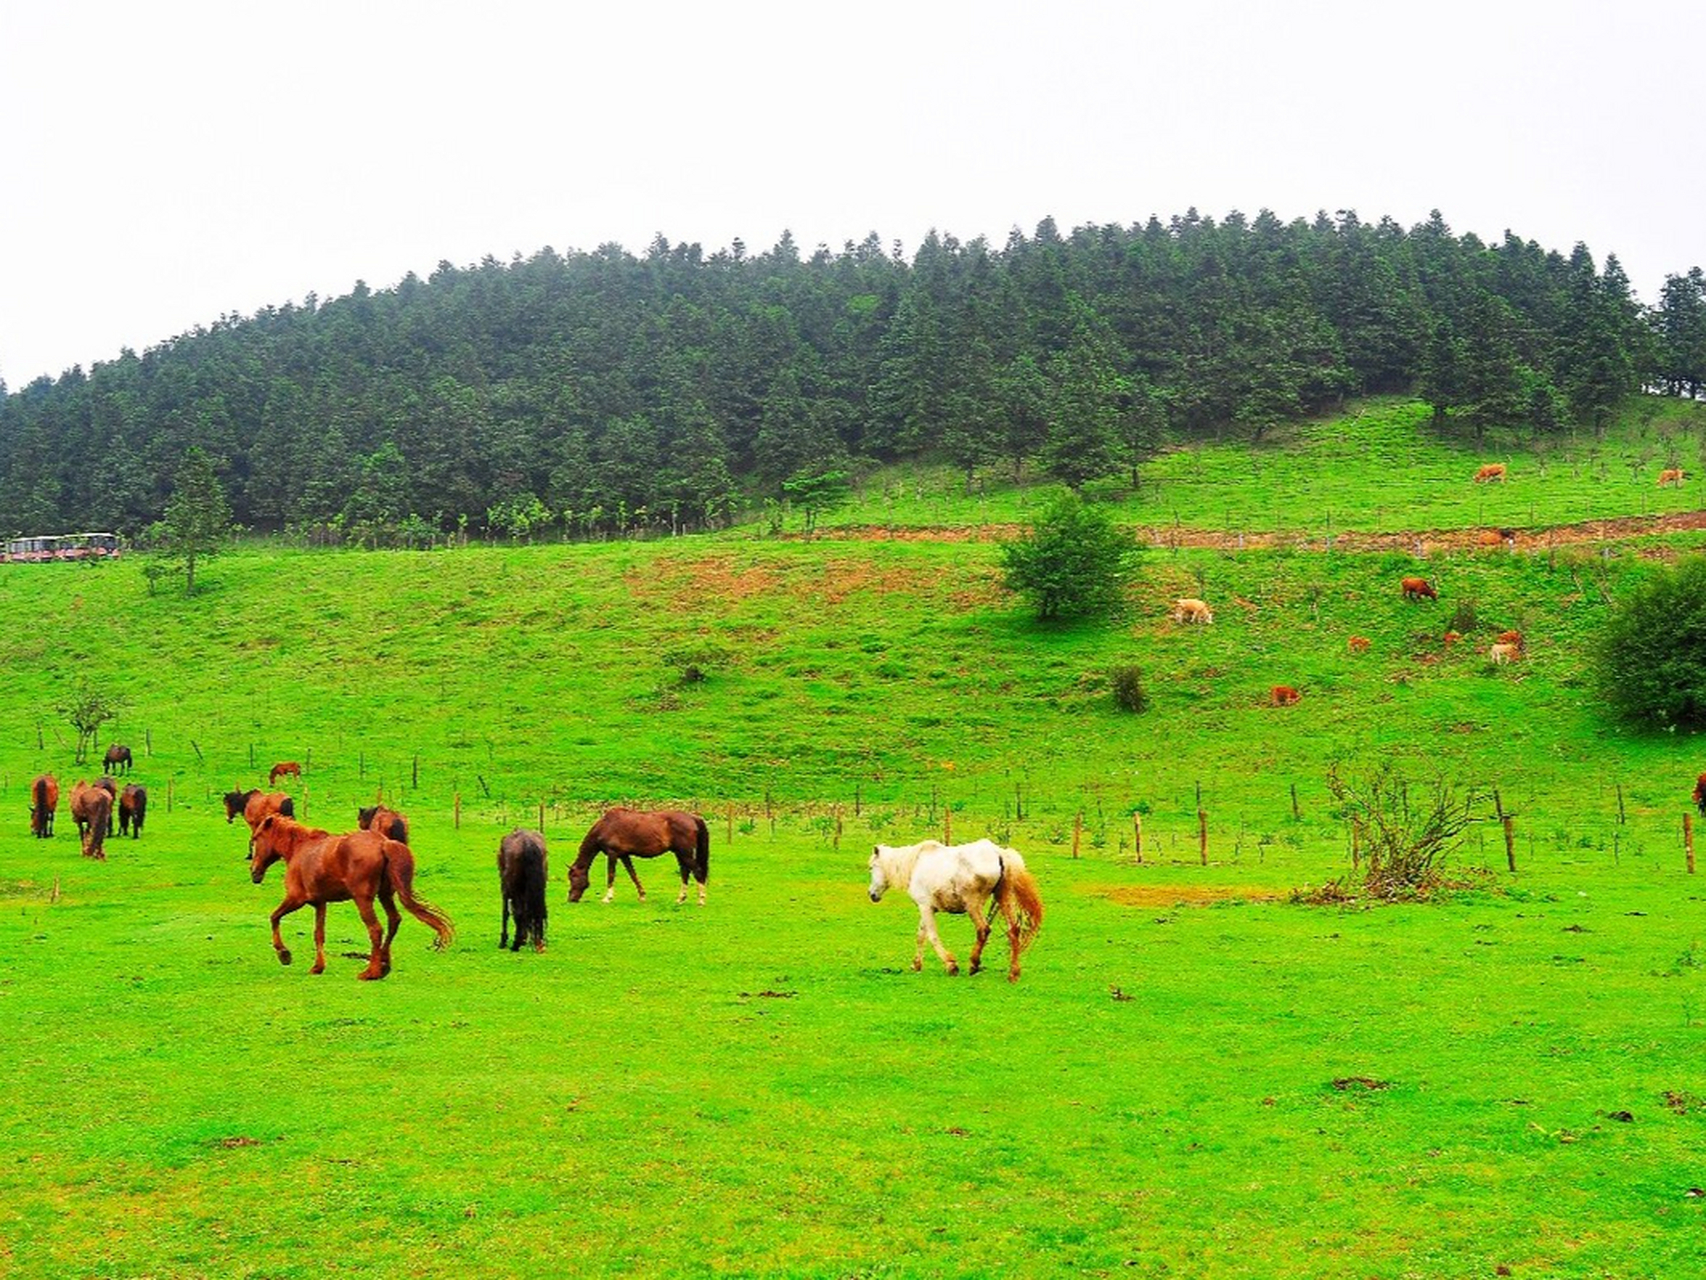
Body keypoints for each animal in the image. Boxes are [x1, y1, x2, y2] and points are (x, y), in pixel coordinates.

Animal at [249, 815, 453, 989]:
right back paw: (384, 965)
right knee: (394, 921)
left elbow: (274, 917)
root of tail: (384, 843)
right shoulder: (320, 903)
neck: (300, 848)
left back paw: (371, 972)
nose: (253, 872)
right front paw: (317, 967)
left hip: (363, 899)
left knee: (375, 929)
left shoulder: (296, 898)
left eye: (257, 837)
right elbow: (318, 934)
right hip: (385, 895)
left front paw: (284, 954)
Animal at [569, 805, 709, 907]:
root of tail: (692, 818)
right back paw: (680, 899)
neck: (606, 825)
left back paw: (701, 900)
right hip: (679, 853)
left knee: (697, 871)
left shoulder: (612, 854)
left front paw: (607, 898)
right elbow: (633, 874)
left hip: (685, 853)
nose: (571, 899)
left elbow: (611, 875)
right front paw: (642, 896)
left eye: (572, 878)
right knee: (685, 872)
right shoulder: (624, 855)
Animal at [873, 836, 1044, 989]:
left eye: (872, 867)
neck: (915, 863)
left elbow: (932, 936)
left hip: (973, 905)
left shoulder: (925, 907)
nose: (872, 895)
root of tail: (998, 853)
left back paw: (974, 964)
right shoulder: (927, 908)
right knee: (1013, 930)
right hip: (1003, 898)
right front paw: (916, 964)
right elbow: (921, 936)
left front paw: (951, 965)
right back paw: (1013, 973)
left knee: (983, 930)